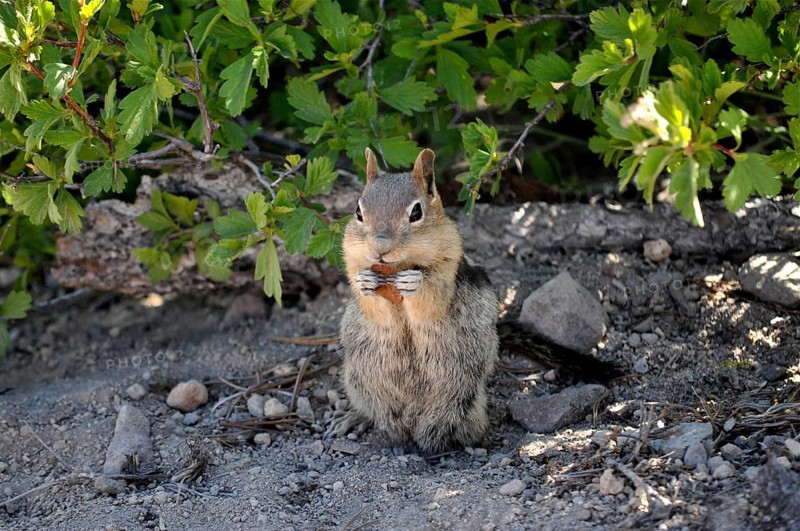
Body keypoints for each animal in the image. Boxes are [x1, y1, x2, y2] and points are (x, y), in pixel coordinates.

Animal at [334, 147, 619, 453]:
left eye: (416, 212)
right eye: (358, 212)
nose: (380, 248)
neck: (397, 267)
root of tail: (411, 425)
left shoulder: (448, 267)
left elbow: (431, 299)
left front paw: (415, 281)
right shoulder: (354, 262)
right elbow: (373, 306)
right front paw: (364, 282)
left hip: (464, 395)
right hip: (357, 381)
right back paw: (353, 418)